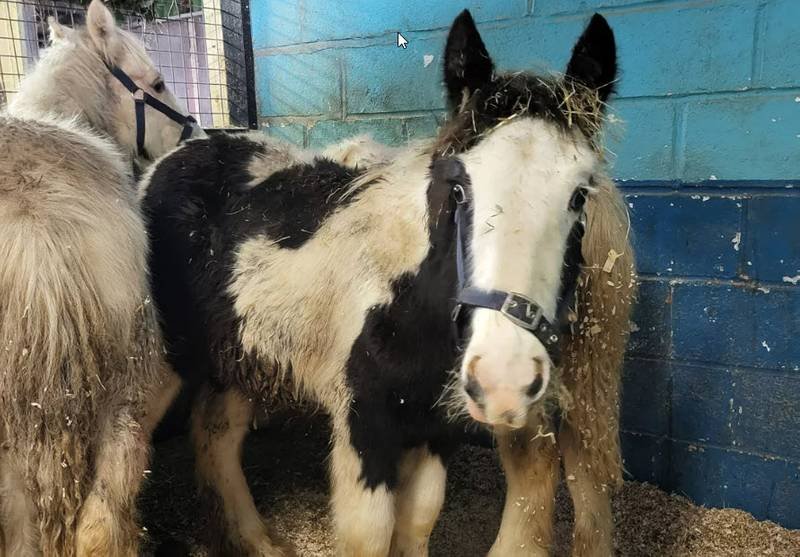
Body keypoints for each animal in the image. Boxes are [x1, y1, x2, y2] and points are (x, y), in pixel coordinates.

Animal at [141, 10, 634, 556]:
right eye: (456, 188)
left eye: (580, 195)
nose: (503, 379)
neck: (407, 300)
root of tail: (180, 153)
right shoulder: (365, 426)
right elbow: (371, 533)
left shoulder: (437, 427)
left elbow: (418, 519)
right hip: (164, 359)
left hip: (241, 356)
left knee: (216, 435)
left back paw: (257, 541)